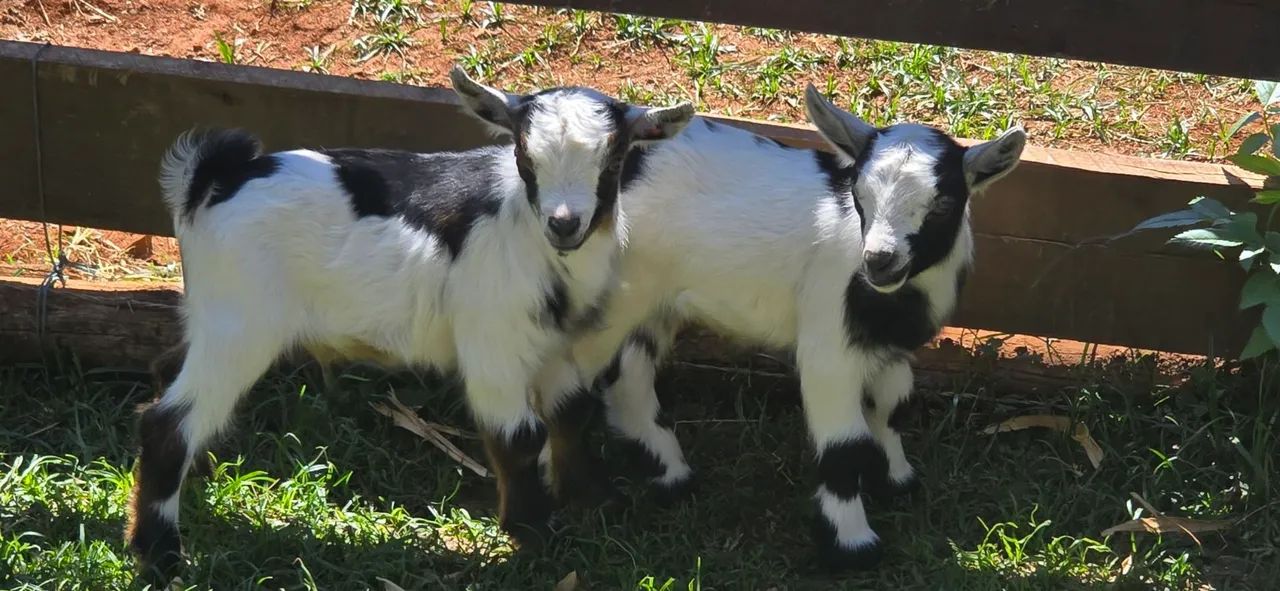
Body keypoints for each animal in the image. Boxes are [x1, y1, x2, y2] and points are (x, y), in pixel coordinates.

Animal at [125, 67, 694, 580]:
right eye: (524, 156)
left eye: (615, 159)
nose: (564, 223)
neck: (529, 237)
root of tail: (209, 182)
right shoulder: (492, 343)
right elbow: (518, 436)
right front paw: (532, 531)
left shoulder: (553, 345)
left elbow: (571, 412)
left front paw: (592, 500)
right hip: (240, 323)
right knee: (167, 423)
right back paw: (161, 553)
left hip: (214, 316)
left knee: (169, 380)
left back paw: (195, 477)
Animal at [551, 85, 1026, 570]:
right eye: (858, 193)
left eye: (944, 203)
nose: (879, 260)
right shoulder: (828, 347)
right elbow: (843, 447)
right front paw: (853, 546)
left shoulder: (887, 349)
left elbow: (891, 408)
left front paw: (896, 480)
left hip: (649, 301)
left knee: (628, 373)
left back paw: (670, 474)